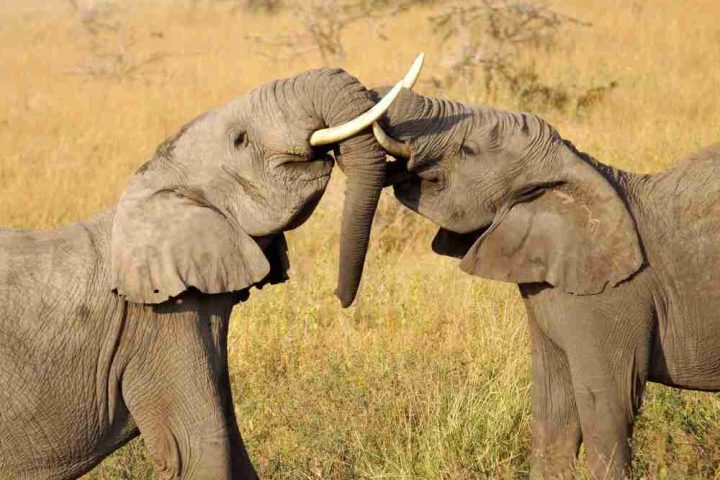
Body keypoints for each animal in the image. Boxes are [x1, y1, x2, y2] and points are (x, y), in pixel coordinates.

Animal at [0, 57, 423, 480]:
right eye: (240, 139)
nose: (341, 296)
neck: (154, 189)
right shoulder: (161, 324)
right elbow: (200, 447)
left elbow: (232, 441)